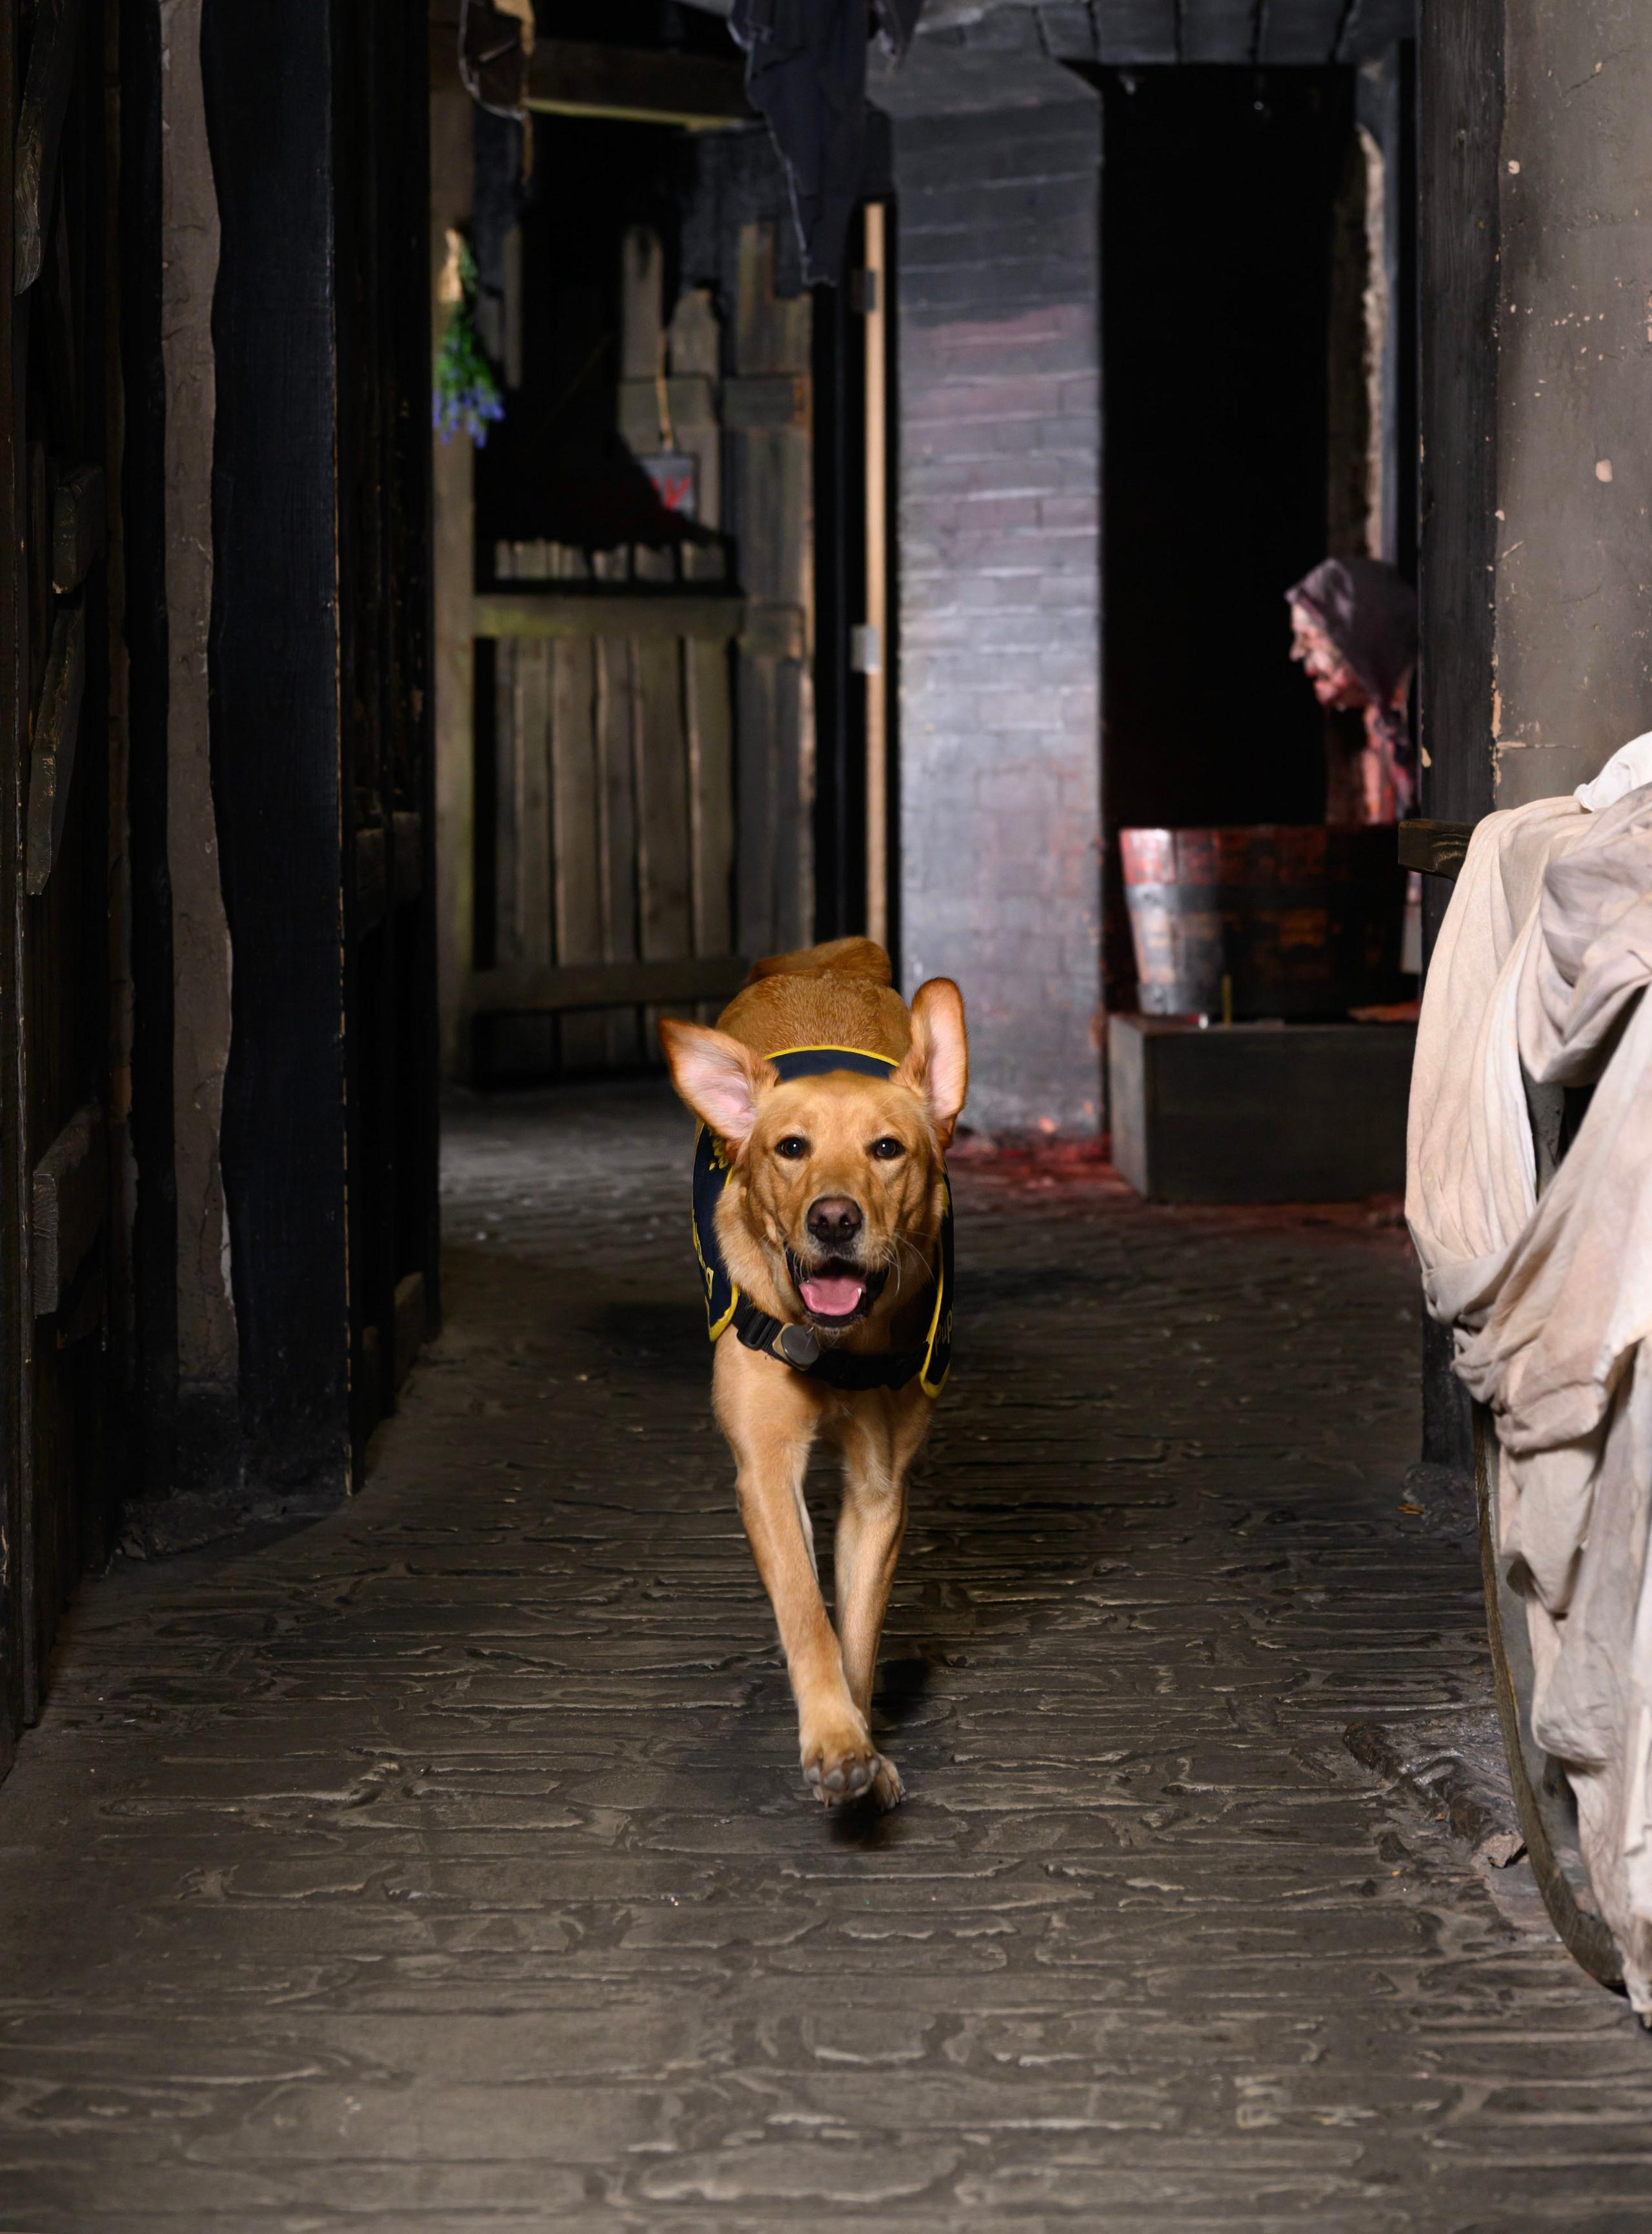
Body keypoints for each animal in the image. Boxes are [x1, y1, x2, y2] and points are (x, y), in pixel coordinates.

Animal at [657, 934, 970, 1805]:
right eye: (791, 1148)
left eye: (887, 1150)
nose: (834, 1220)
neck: (834, 1347)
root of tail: (822, 965)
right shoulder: (765, 1470)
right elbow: (807, 1614)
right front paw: (833, 1739)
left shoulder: (879, 1488)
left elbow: (855, 1629)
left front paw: (858, 1742)